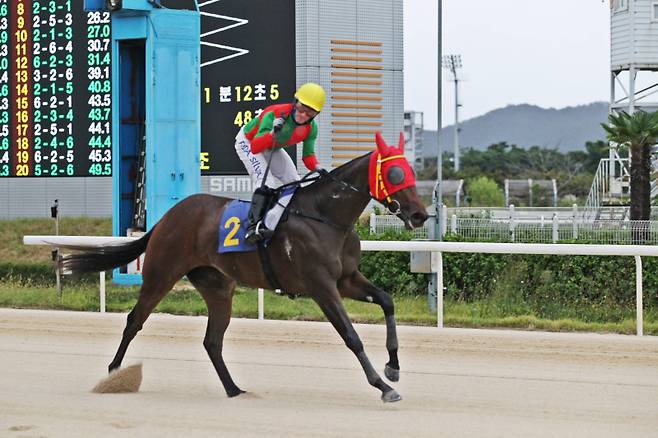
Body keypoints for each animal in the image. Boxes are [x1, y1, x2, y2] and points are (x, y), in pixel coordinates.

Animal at [59, 133, 428, 404]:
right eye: (395, 174)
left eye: (411, 171)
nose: (421, 215)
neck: (326, 216)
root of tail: (166, 217)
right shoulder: (321, 286)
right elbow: (351, 336)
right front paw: (383, 386)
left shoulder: (347, 279)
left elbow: (387, 301)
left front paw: (393, 368)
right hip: (161, 273)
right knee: (134, 321)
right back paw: (113, 376)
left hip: (218, 286)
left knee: (212, 340)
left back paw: (234, 389)